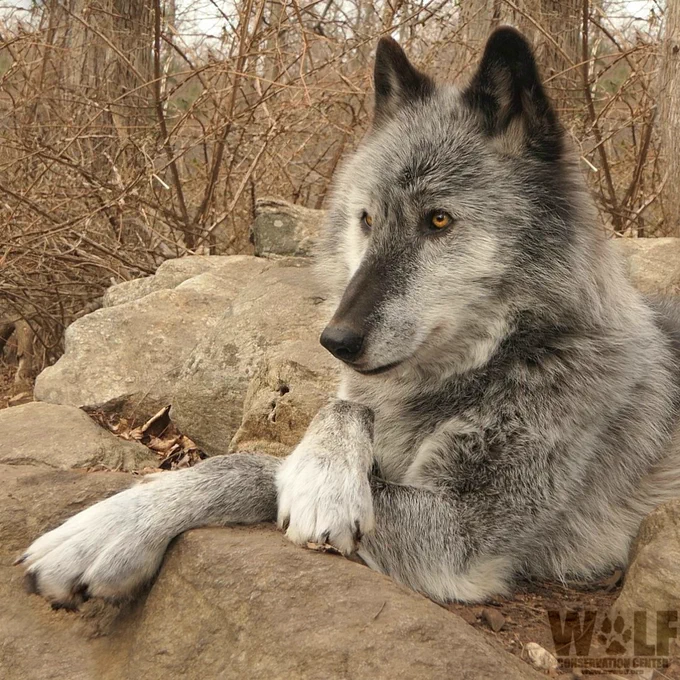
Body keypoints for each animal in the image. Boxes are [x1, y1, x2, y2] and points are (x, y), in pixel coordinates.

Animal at [18, 27, 680, 608]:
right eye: (366, 219)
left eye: (438, 220)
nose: (334, 340)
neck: (494, 362)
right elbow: (333, 411)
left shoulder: (460, 532)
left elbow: (256, 466)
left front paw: (111, 529)